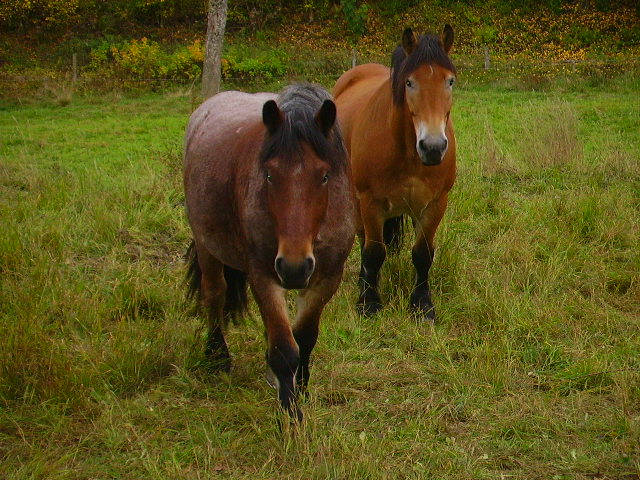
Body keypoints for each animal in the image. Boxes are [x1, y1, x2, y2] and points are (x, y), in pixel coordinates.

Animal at [184, 84, 356, 422]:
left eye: (324, 176)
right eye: (269, 176)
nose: (293, 268)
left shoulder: (327, 278)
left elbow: (304, 339)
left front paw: (300, 388)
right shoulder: (263, 276)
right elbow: (284, 349)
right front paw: (290, 415)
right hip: (206, 246)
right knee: (214, 294)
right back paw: (217, 356)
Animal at [332, 24, 458, 320]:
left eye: (450, 81)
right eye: (409, 82)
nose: (433, 147)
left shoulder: (436, 203)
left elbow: (423, 254)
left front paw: (422, 305)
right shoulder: (371, 201)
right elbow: (373, 252)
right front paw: (368, 303)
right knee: (364, 242)